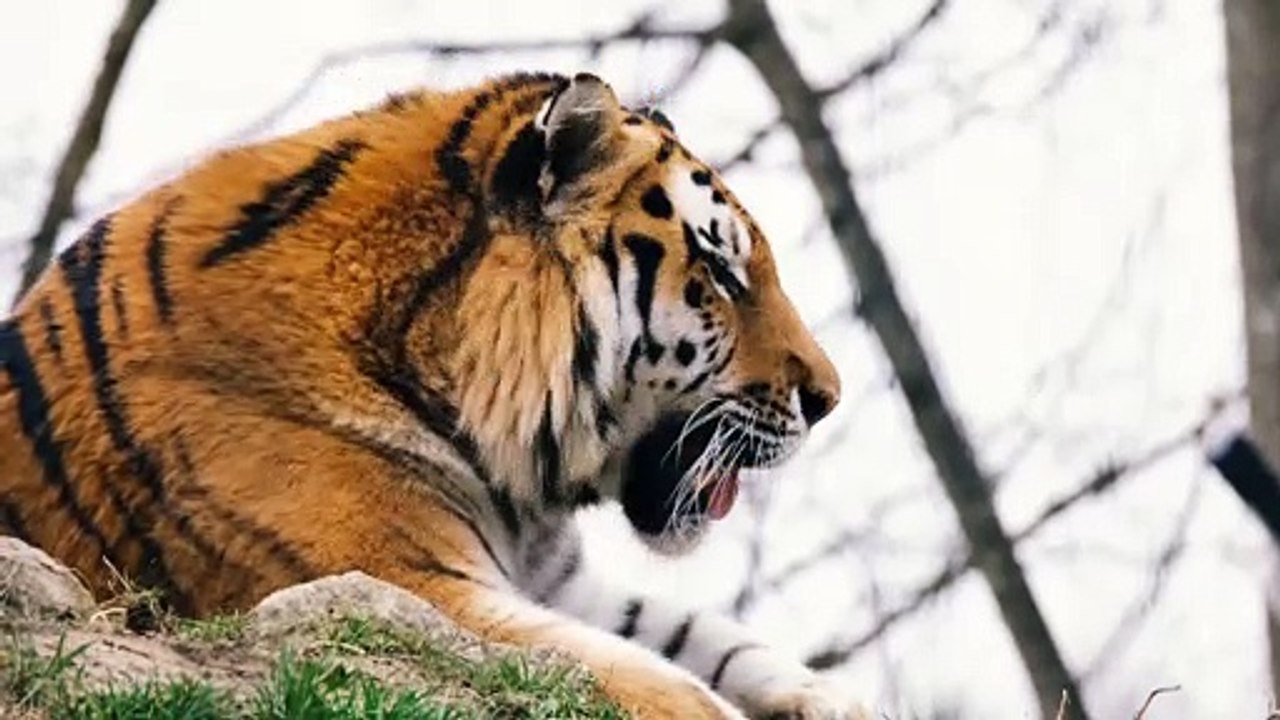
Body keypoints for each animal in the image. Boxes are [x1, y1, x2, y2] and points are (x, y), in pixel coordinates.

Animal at [0, 72, 866, 718]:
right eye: (721, 273)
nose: (828, 398)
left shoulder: (555, 581)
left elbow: (710, 638)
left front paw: (833, 700)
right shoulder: (404, 581)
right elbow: (667, 684)